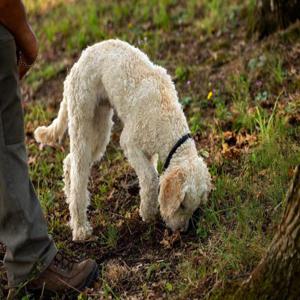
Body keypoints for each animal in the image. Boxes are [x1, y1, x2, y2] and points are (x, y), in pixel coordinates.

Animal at [34, 39, 211, 241]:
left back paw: (69, 196)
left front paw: (148, 206)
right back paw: (80, 228)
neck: (166, 119)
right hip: (82, 120)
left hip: (100, 127)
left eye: (193, 208)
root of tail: (80, 60)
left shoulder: (149, 151)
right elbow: (150, 177)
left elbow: (148, 179)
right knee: (79, 172)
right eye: (181, 205)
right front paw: (148, 213)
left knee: (70, 161)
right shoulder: (129, 143)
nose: (181, 231)